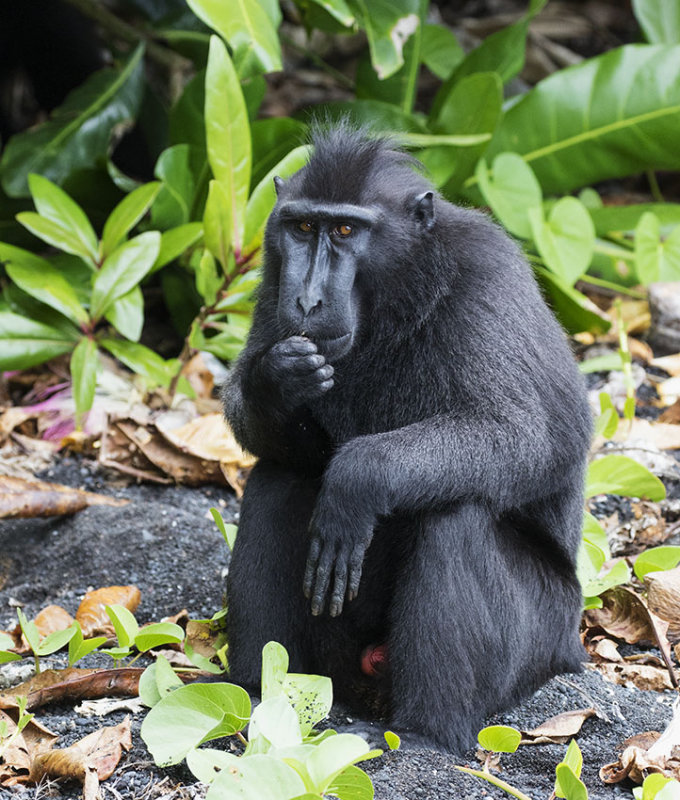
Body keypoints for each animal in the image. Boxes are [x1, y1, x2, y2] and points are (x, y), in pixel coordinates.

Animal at [223, 125, 588, 752]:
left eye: (346, 231)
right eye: (302, 227)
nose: (308, 302)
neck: (398, 298)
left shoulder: (485, 279)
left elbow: (524, 436)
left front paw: (356, 479)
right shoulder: (272, 280)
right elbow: (277, 443)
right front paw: (276, 379)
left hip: (545, 633)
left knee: (456, 517)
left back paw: (426, 736)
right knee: (280, 478)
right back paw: (258, 694)